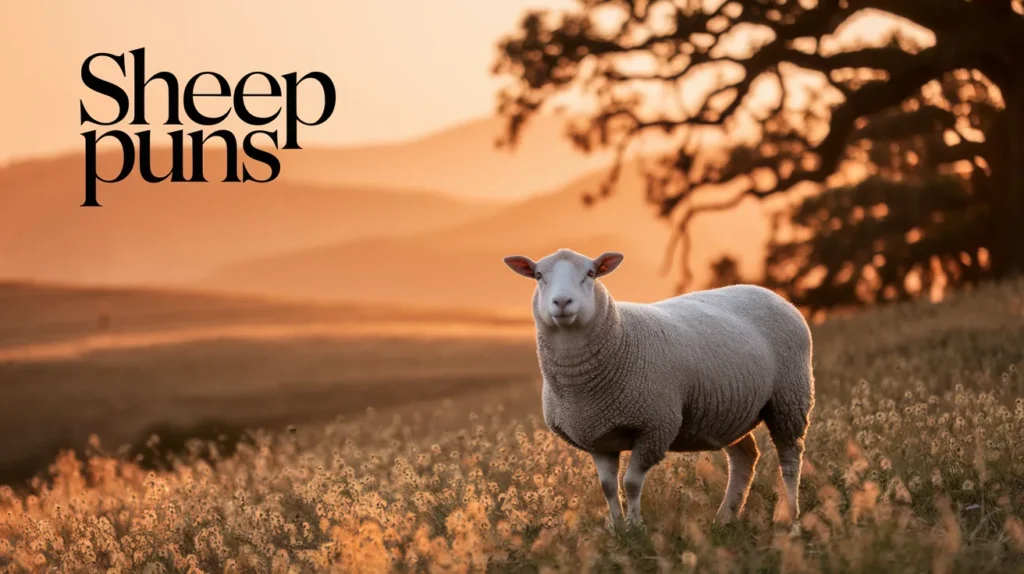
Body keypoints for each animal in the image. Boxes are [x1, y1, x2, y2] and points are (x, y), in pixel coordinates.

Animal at [502, 248, 815, 530]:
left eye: (590, 274)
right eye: (538, 275)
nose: (562, 301)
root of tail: (771, 293)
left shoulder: (655, 426)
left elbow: (630, 483)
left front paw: (635, 527)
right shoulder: (597, 436)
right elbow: (607, 487)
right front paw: (616, 528)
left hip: (789, 399)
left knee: (790, 458)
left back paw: (789, 517)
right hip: (729, 412)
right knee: (745, 457)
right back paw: (726, 517)